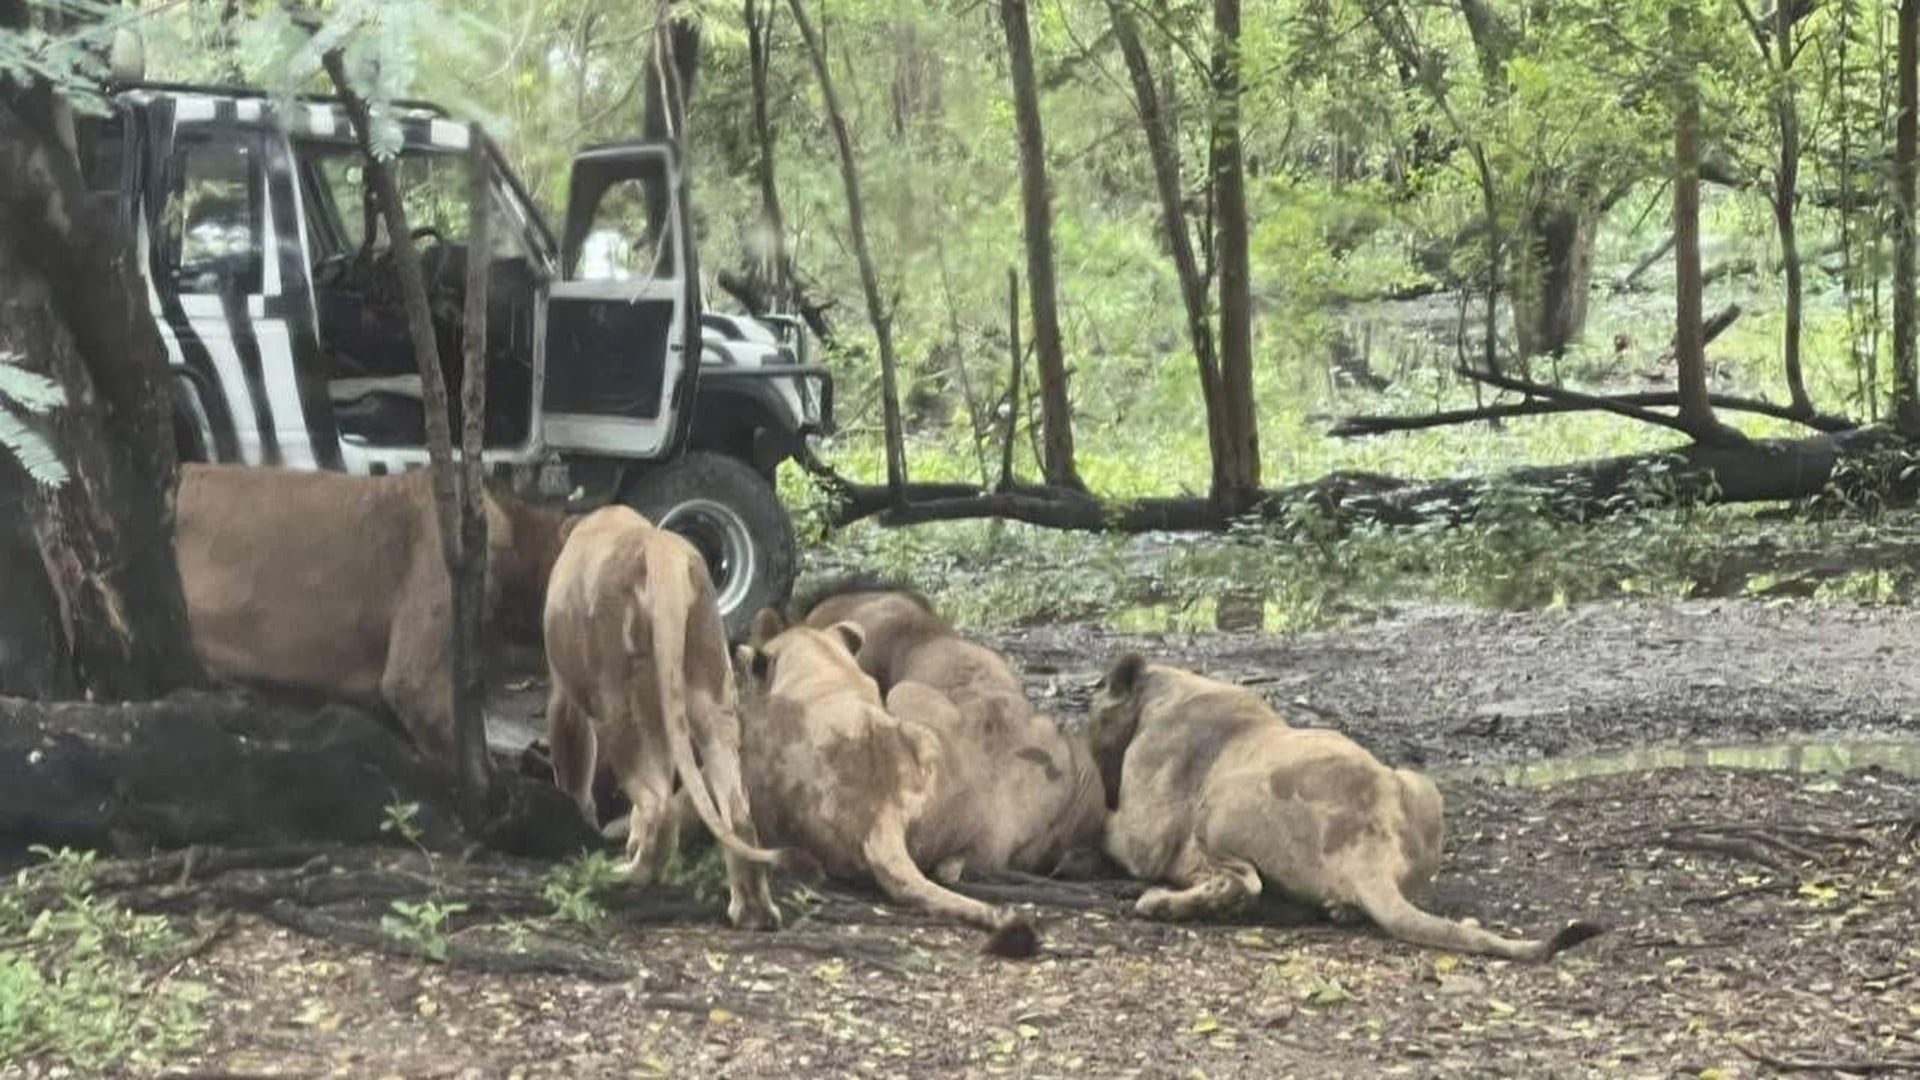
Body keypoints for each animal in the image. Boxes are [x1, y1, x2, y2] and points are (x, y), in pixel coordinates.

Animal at [542, 506, 783, 930]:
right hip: (709, 689)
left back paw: (629, 875)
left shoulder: (564, 693)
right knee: (736, 810)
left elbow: (573, 765)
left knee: (659, 803)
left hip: (620, 704)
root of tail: (660, 552)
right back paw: (753, 912)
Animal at [1088, 654, 1604, 961]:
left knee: (1243, 884)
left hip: (1225, 803)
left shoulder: (1144, 834)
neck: (1166, 691)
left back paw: (1158, 903)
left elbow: (1109, 826)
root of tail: (1370, 842)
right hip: (1419, 785)